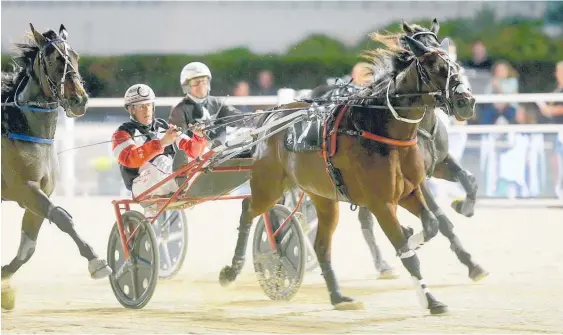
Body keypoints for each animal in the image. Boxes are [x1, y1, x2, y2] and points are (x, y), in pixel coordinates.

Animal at [220, 30, 476, 316]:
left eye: (456, 66)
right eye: (434, 67)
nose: (466, 101)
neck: (379, 128)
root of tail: (272, 116)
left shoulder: (409, 191)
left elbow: (432, 224)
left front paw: (414, 235)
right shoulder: (382, 204)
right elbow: (409, 254)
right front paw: (431, 300)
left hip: (323, 198)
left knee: (321, 246)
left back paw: (339, 297)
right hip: (270, 186)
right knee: (248, 209)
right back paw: (232, 270)